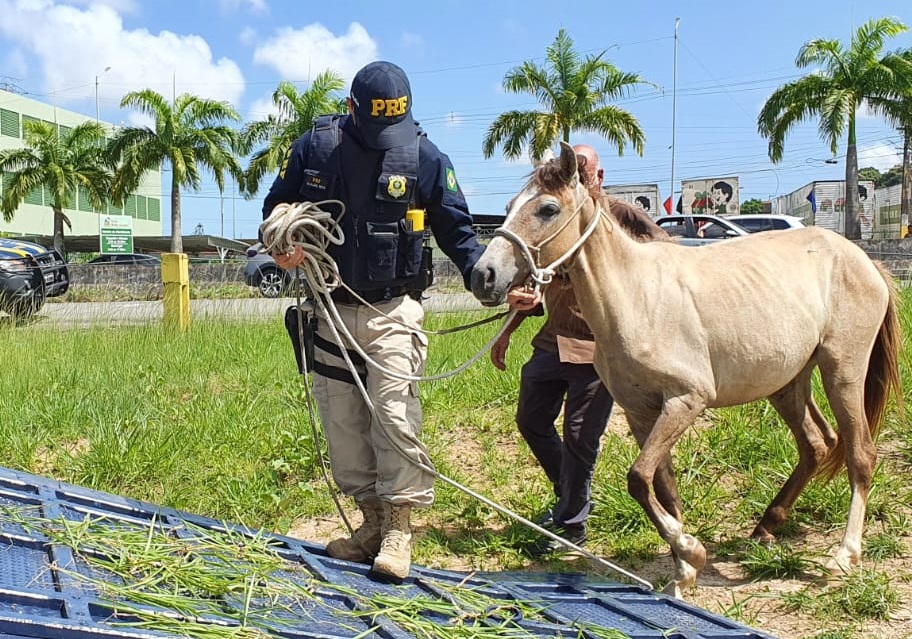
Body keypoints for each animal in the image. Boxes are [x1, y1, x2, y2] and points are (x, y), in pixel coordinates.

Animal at [474, 142, 900, 596]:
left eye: (548, 209)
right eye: (509, 206)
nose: (484, 276)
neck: (636, 297)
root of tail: (868, 263)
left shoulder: (686, 400)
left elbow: (638, 477)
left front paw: (691, 551)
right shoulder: (640, 412)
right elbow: (661, 485)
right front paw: (685, 567)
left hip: (843, 372)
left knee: (860, 454)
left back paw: (844, 554)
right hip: (787, 383)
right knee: (817, 444)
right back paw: (767, 526)